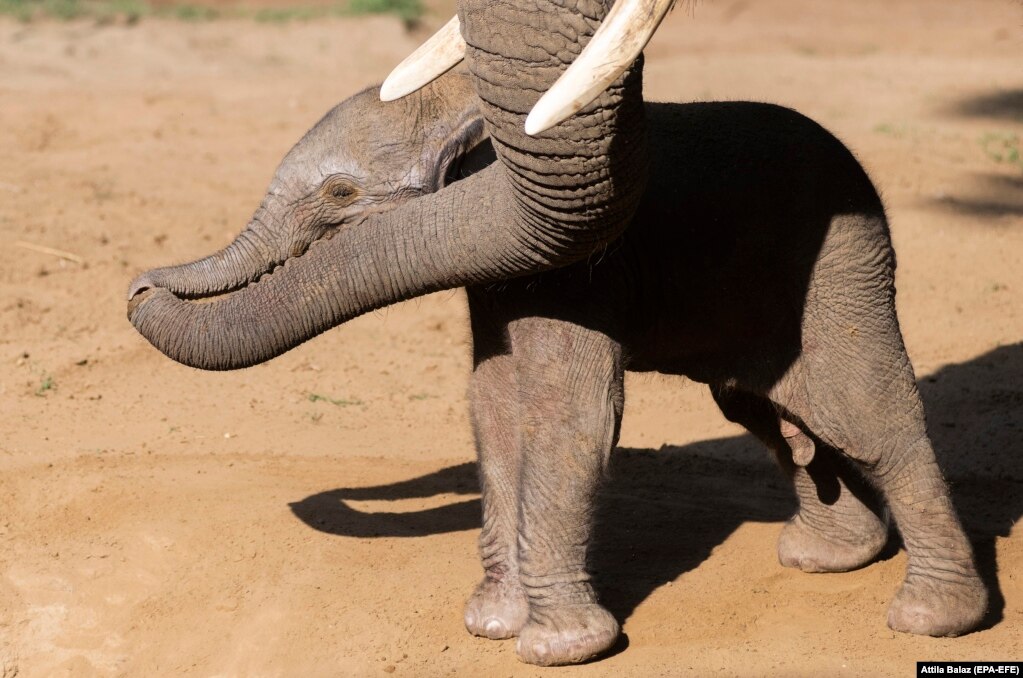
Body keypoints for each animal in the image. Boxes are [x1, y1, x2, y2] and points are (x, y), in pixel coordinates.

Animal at [127, 73, 987, 666]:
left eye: (339, 192)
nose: (140, 284)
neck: (464, 99)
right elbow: (492, 408)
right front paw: (491, 624)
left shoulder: (579, 273)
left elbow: (569, 417)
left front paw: (556, 649)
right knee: (760, 408)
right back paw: (828, 557)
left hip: (840, 268)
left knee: (861, 411)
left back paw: (933, 619)